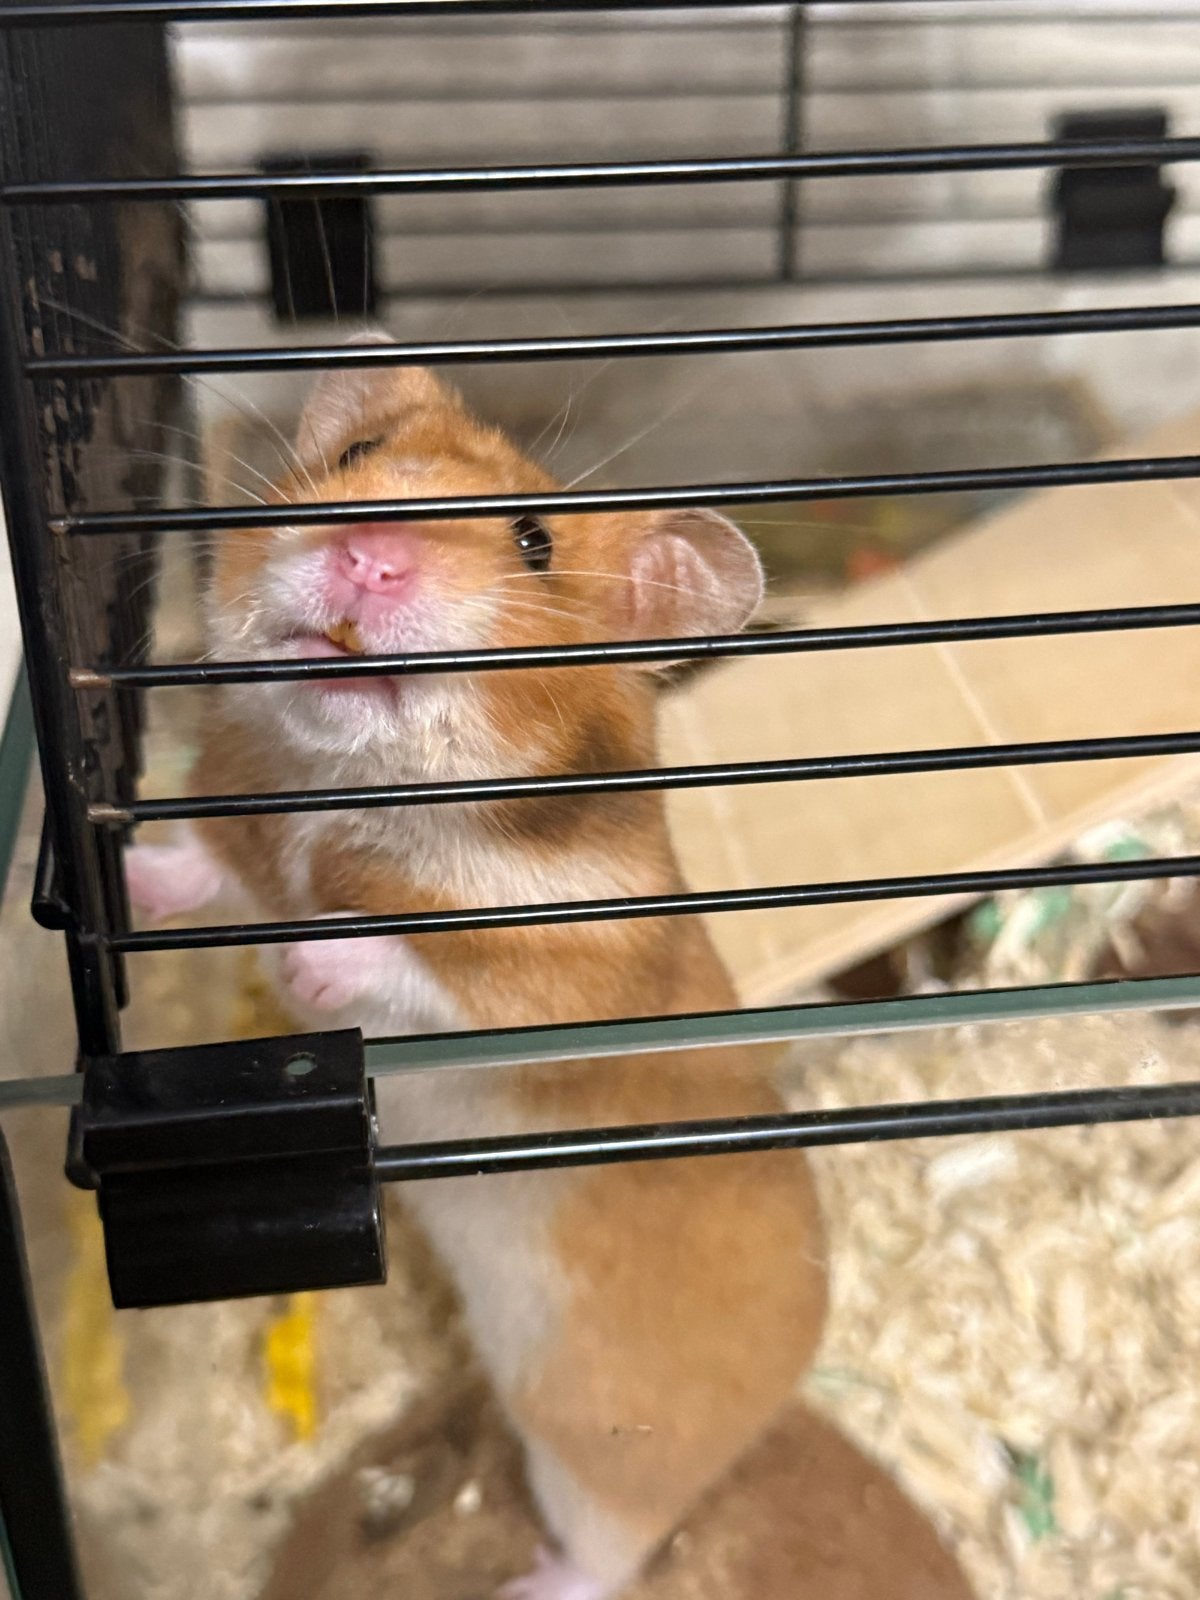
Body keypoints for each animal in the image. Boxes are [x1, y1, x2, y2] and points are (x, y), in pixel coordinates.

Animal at [126, 354, 828, 1600]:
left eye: (535, 543)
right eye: (355, 460)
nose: (366, 555)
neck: (346, 787)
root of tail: (802, 1367)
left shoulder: (546, 983)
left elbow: (413, 957)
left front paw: (310, 963)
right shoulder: (245, 830)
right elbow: (202, 863)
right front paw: (122, 870)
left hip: (600, 1444)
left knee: (615, 1547)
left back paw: (530, 1582)